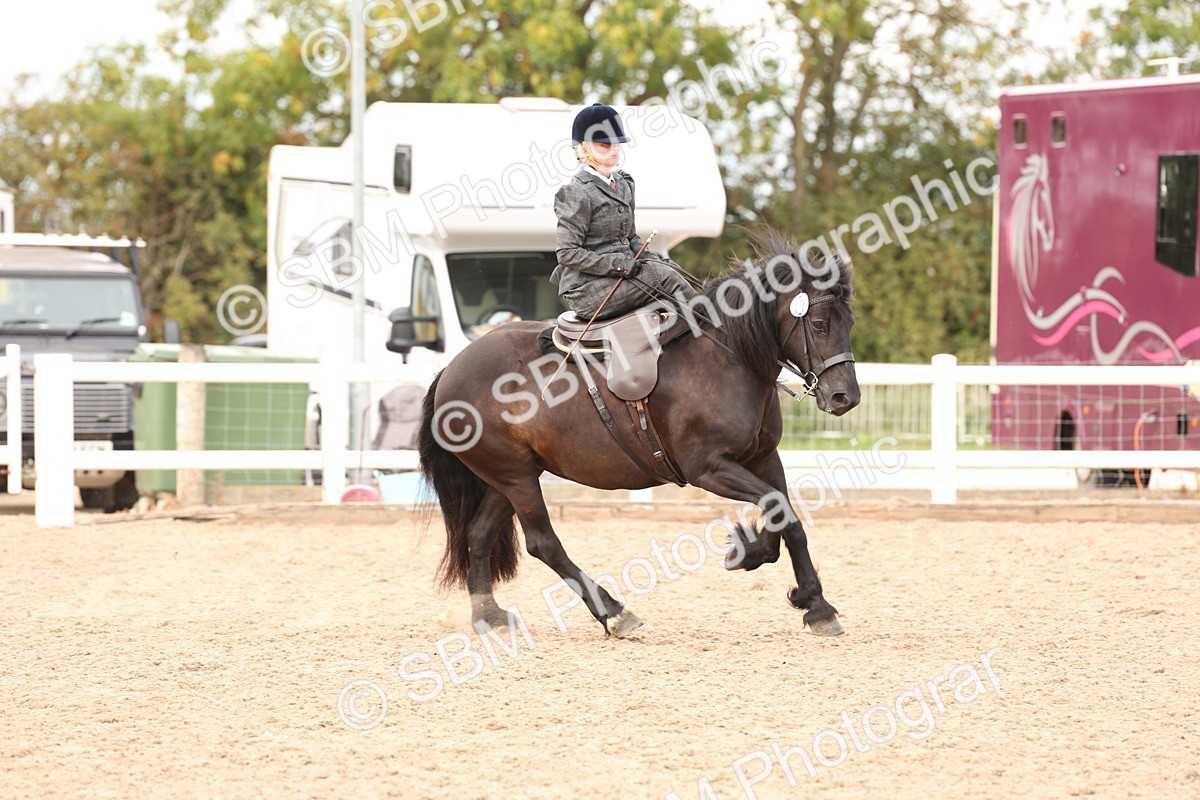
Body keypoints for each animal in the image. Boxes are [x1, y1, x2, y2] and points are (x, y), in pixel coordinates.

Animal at [417, 230, 860, 638]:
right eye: (819, 324)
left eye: (850, 322)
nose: (846, 397)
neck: (726, 358)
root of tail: (451, 369)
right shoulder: (709, 469)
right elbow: (779, 510)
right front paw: (774, 570)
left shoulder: (764, 458)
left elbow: (786, 516)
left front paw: (803, 594)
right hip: (516, 478)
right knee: (543, 542)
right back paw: (613, 612)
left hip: (510, 476)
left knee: (479, 535)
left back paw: (488, 617)